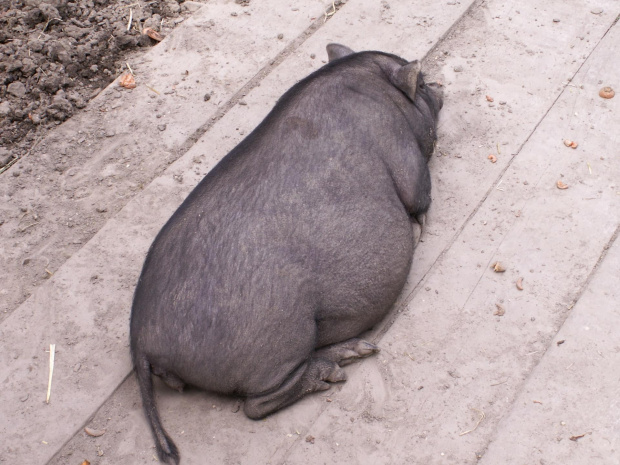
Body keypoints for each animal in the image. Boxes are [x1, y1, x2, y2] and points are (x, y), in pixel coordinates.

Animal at [130, 41, 440, 462]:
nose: (440, 86)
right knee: (256, 405)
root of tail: (141, 339)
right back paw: (335, 370)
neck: (366, 82)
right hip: (279, 341)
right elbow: (418, 193)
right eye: (421, 84)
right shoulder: (402, 151)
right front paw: (419, 226)